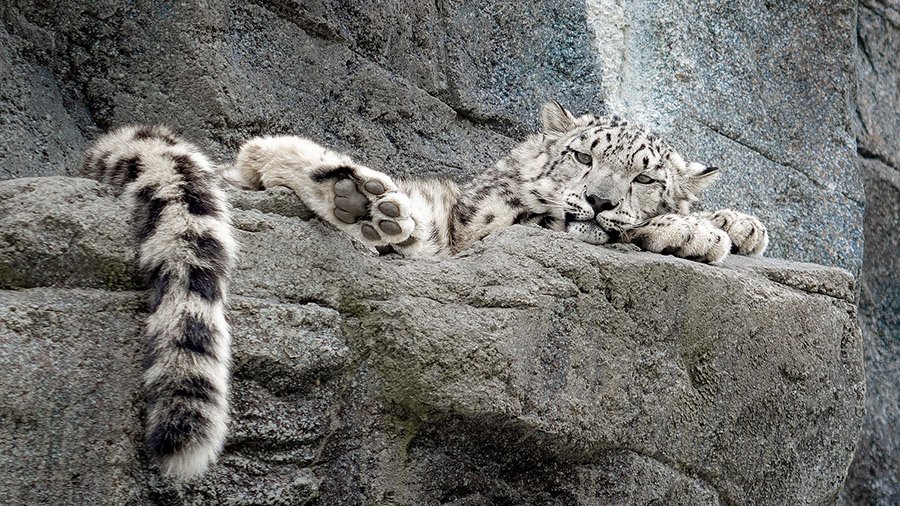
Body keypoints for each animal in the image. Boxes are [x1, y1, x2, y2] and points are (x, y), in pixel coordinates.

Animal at [78, 102, 767, 480]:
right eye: (579, 155)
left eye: (645, 177)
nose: (599, 199)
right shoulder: (496, 220)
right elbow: (562, 217)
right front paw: (695, 230)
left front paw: (740, 225)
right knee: (261, 156)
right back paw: (360, 196)